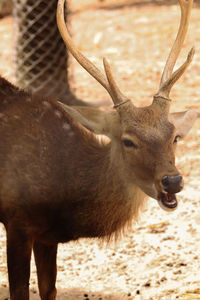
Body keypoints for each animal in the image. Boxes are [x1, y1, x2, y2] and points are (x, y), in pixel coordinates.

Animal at [0, 0, 199, 298]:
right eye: (128, 141)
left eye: (174, 136)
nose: (172, 181)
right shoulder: (17, 221)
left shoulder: (47, 236)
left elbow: (49, 289)